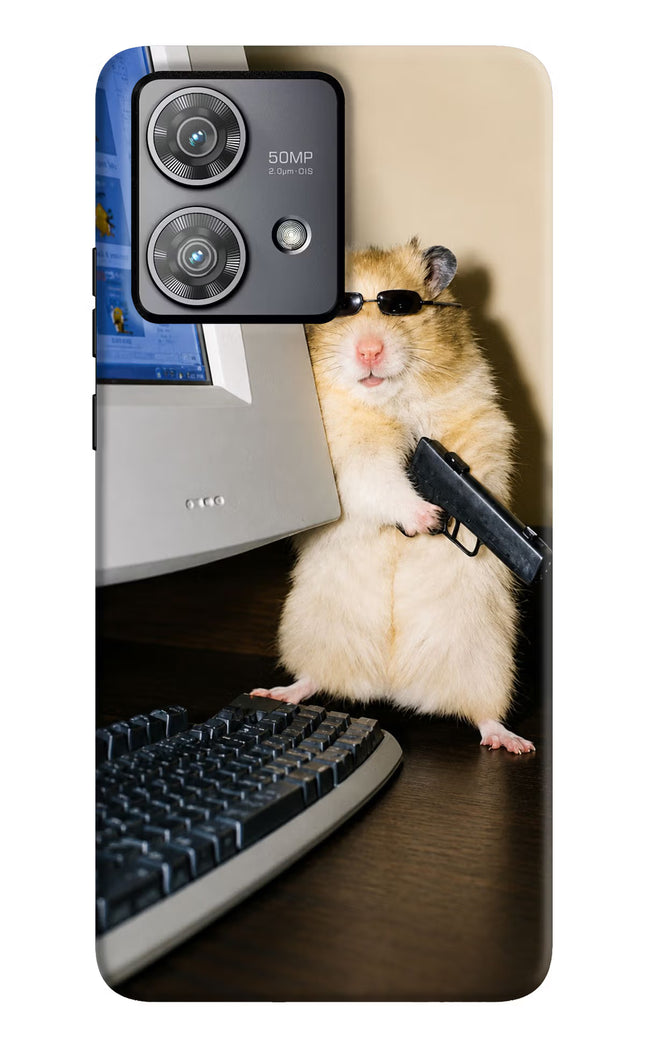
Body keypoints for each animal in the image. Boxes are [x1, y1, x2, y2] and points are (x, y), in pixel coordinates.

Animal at [252, 239, 534, 754]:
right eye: (340, 309)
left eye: (402, 307)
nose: (369, 350)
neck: (389, 401)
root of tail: (392, 686)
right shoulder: (348, 457)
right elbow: (380, 481)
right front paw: (428, 518)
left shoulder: (481, 423)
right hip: (310, 631)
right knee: (313, 678)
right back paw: (276, 692)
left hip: (488, 660)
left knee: (484, 714)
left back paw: (512, 742)